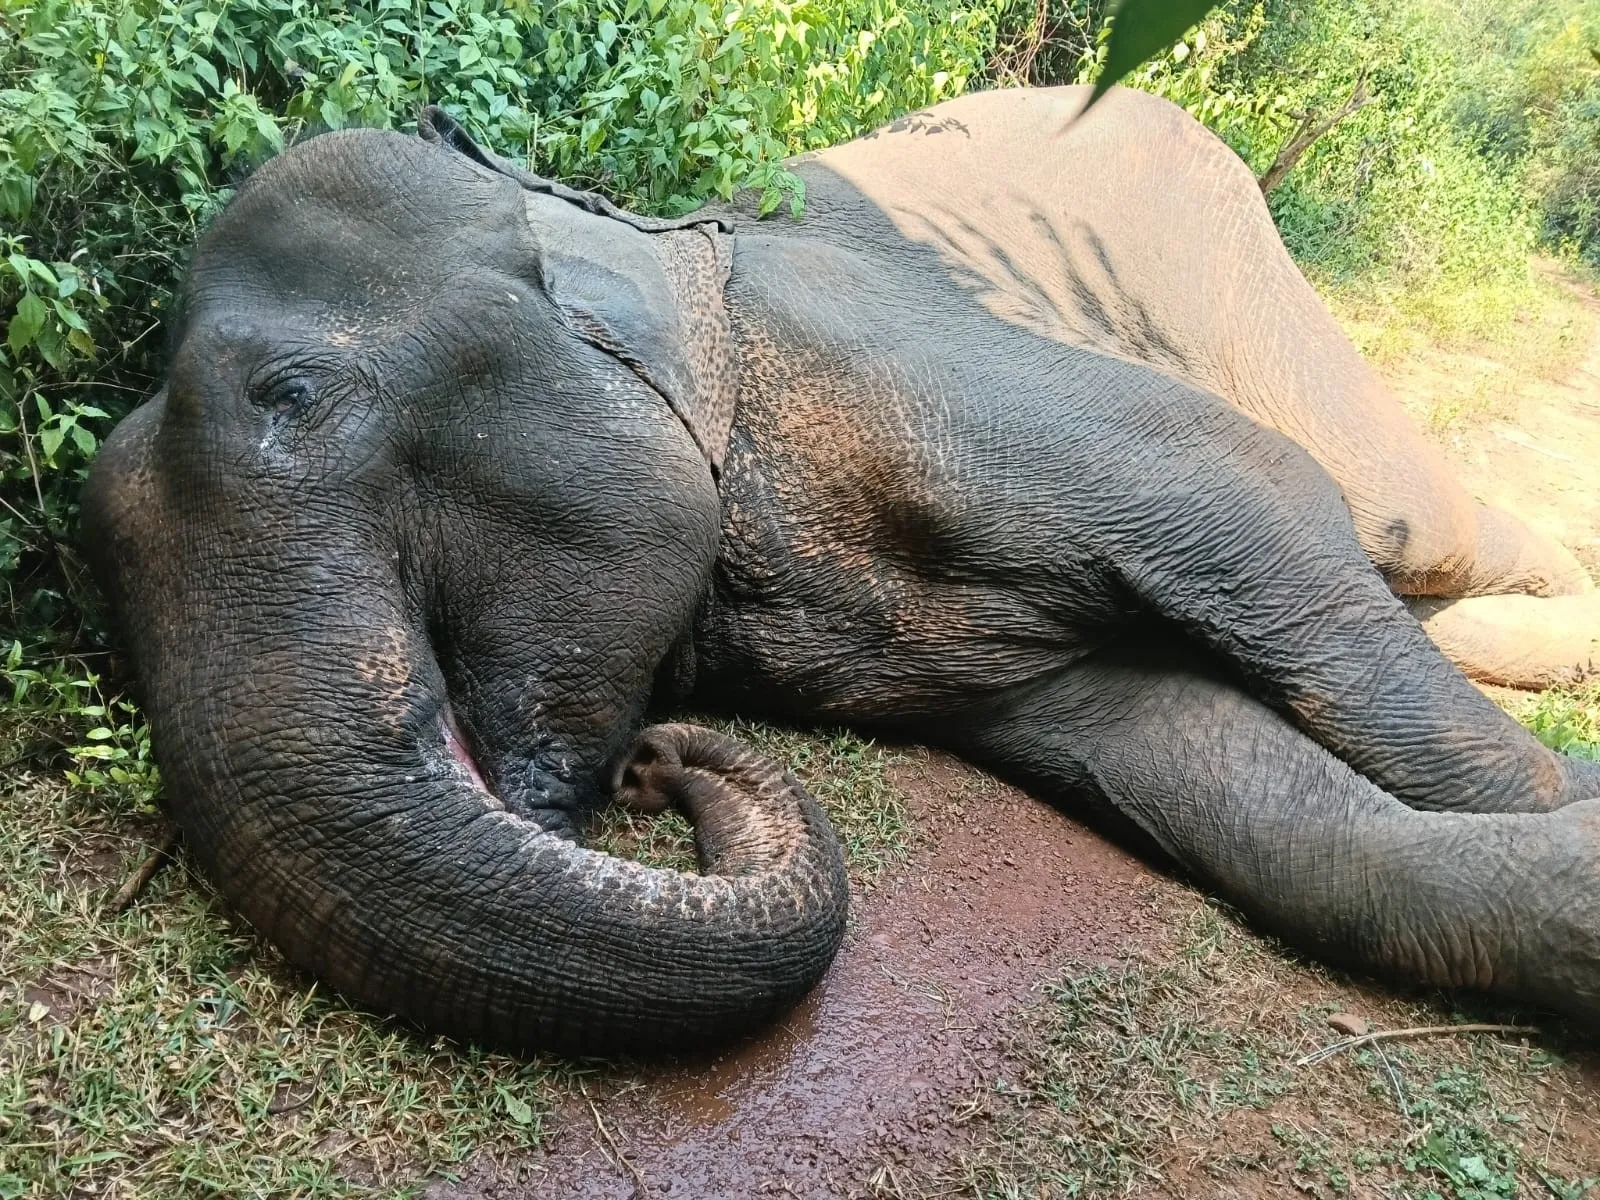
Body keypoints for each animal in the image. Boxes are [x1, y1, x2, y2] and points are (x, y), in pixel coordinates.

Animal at [83, 85, 1600, 1057]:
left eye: (291, 395)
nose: (660, 763)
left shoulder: (877, 348)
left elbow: (1249, 499)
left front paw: (1569, 797)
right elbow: (1214, 782)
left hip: (1251, 289)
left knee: (1396, 519)